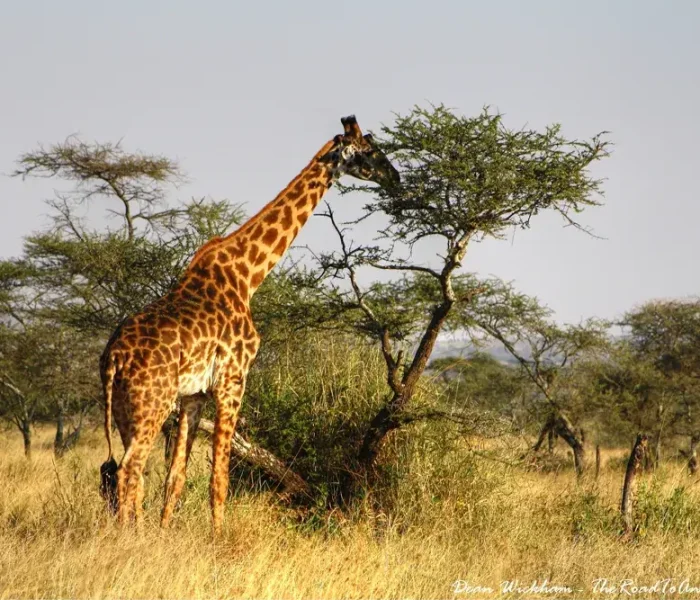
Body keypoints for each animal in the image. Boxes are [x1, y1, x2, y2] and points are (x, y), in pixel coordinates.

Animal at [99, 115, 399, 533]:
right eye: (370, 150)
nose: (395, 177)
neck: (247, 276)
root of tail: (113, 357)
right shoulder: (233, 380)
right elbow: (219, 477)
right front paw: (217, 540)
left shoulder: (193, 394)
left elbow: (176, 478)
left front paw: (164, 534)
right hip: (152, 401)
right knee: (130, 470)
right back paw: (133, 538)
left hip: (127, 407)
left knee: (127, 474)